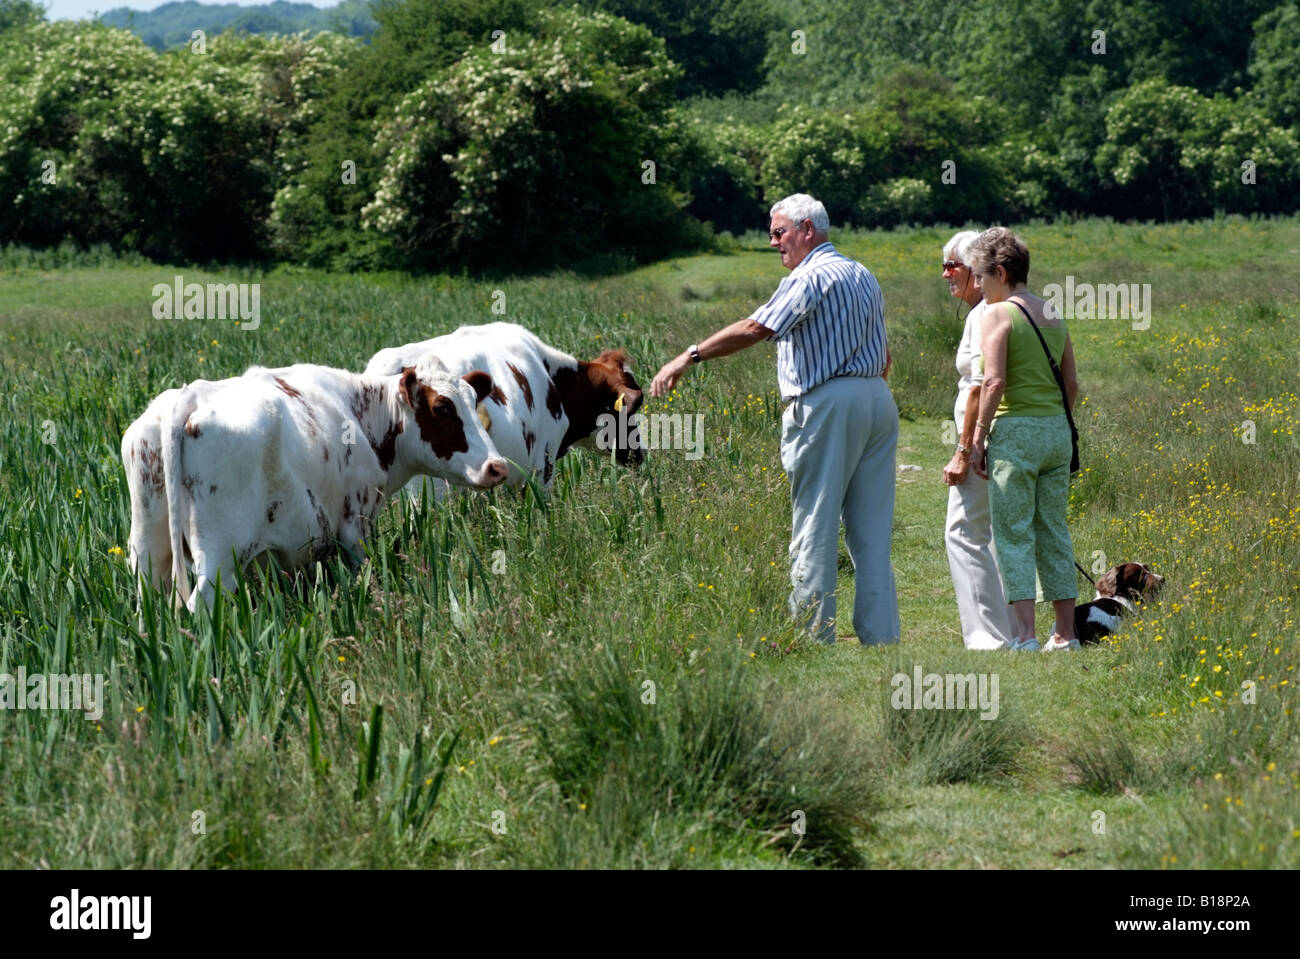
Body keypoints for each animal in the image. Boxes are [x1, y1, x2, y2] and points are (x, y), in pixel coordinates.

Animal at [120, 356, 506, 608]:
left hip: (147, 550)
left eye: (474, 401)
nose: (497, 466)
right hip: (219, 560)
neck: (361, 412)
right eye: (442, 408)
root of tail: (189, 395)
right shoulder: (356, 525)